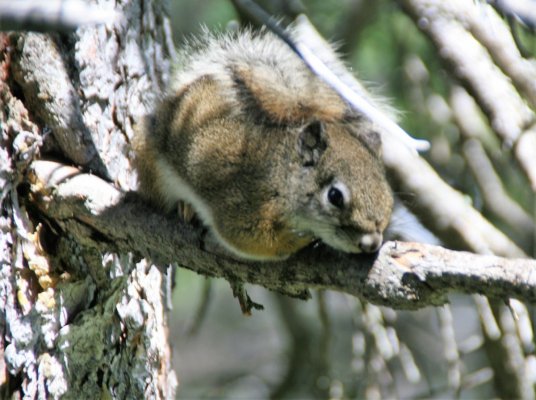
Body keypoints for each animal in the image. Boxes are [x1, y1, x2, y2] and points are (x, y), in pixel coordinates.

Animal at [134, 30, 394, 262]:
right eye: (335, 196)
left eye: (389, 198)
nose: (372, 244)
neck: (280, 176)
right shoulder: (241, 202)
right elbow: (254, 239)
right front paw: (302, 239)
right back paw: (184, 206)